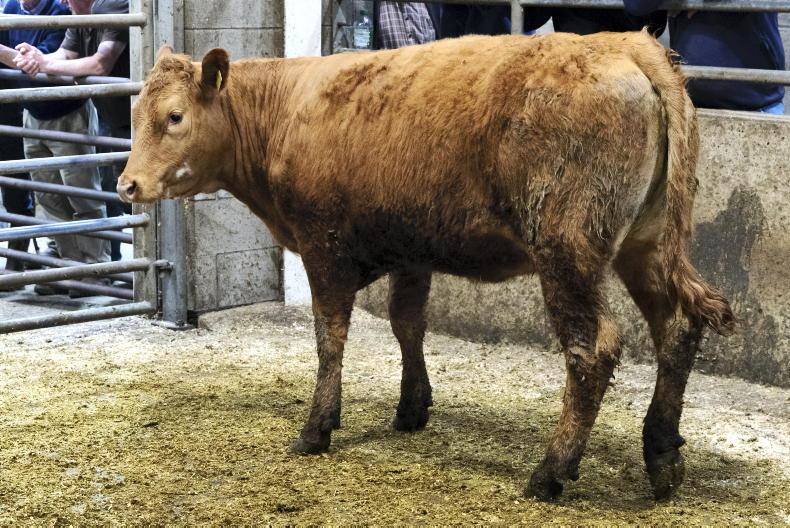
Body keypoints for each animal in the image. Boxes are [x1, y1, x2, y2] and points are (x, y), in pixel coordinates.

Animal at [118, 31, 735, 501]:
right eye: (135, 113)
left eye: (174, 116)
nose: (127, 184)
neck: (285, 110)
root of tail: (627, 45)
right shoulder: (411, 253)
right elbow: (407, 324)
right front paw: (412, 407)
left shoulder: (324, 247)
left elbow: (329, 337)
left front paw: (317, 427)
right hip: (648, 245)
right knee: (677, 328)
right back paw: (662, 455)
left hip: (568, 250)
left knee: (594, 349)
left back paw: (550, 472)